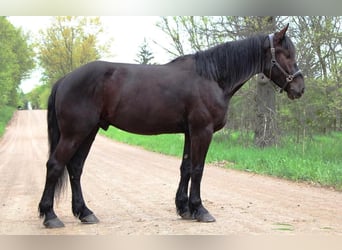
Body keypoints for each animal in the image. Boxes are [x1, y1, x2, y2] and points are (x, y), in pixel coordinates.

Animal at [38, 24, 304, 228]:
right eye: (286, 54)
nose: (300, 88)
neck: (212, 77)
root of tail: (65, 79)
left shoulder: (189, 132)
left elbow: (185, 168)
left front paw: (184, 209)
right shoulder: (202, 131)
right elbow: (198, 169)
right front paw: (200, 210)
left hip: (89, 132)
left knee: (75, 168)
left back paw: (85, 213)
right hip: (75, 133)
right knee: (55, 165)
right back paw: (50, 216)